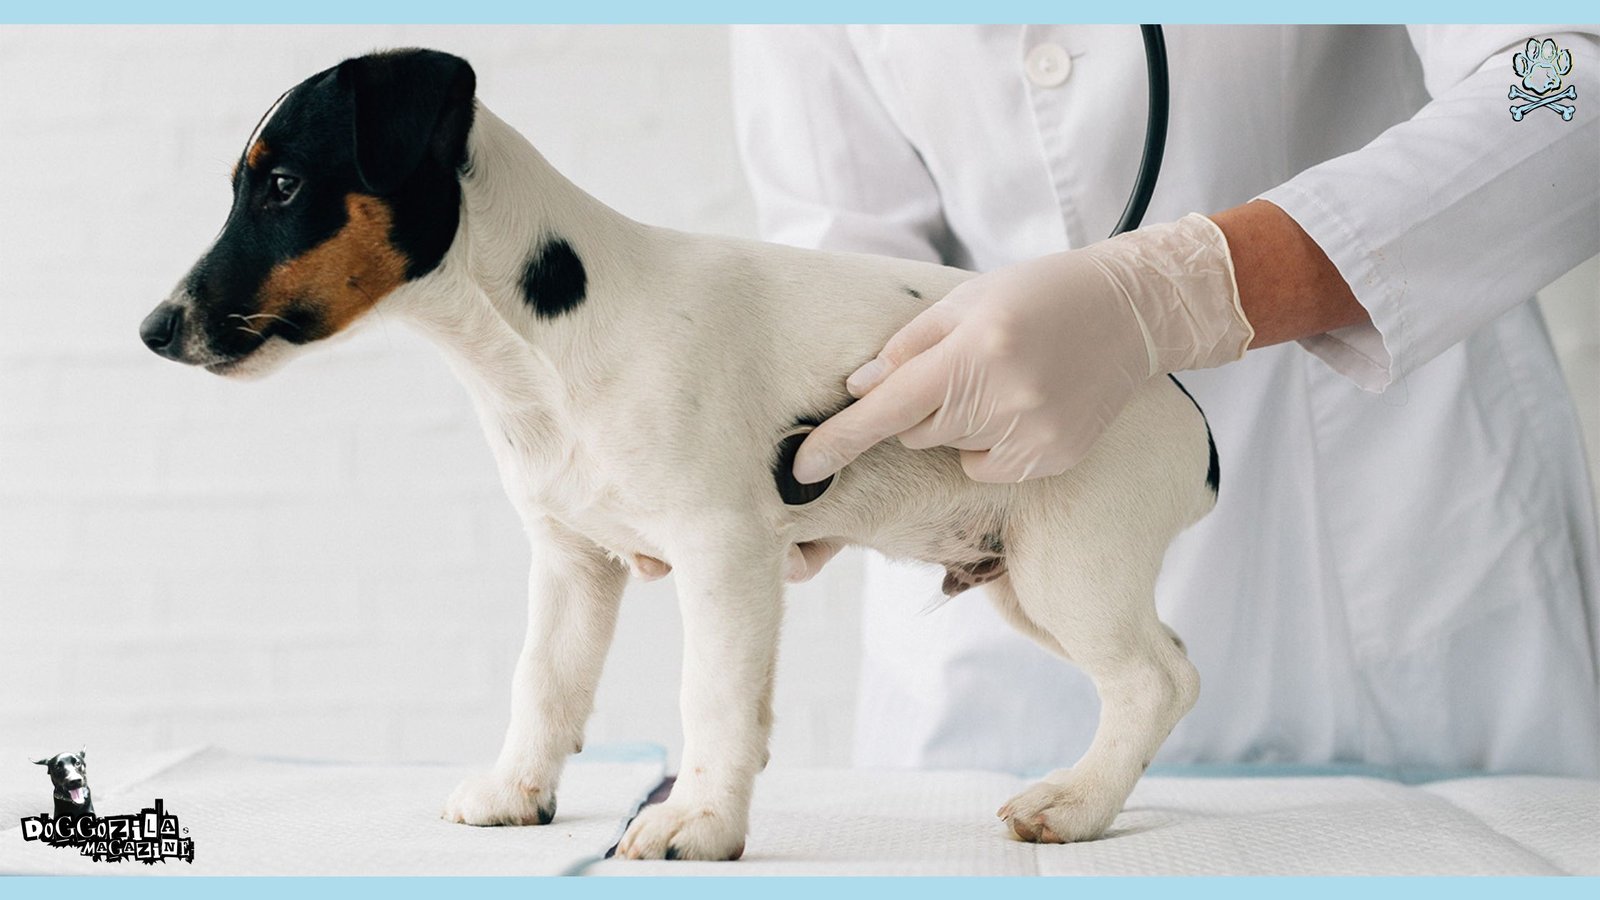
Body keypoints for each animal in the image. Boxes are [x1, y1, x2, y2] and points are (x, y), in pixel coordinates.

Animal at [140, 47, 1209, 851]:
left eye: (282, 185)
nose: (153, 331)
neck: (542, 343)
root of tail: (1176, 396)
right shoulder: (571, 561)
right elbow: (545, 682)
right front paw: (516, 792)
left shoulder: (722, 552)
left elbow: (714, 696)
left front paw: (698, 820)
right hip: (1021, 580)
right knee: (1162, 669)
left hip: (1071, 567)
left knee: (1156, 680)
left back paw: (1076, 803)